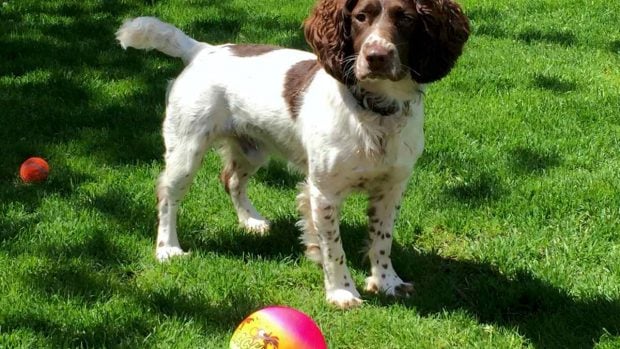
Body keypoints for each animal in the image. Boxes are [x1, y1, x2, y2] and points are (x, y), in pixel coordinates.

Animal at [116, 0, 468, 308]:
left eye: (405, 18)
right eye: (360, 17)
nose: (376, 56)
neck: (374, 112)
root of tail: (202, 49)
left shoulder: (392, 187)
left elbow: (382, 239)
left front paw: (387, 282)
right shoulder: (323, 192)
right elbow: (333, 248)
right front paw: (342, 292)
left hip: (252, 148)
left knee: (231, 179)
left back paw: (251, 220)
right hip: (186, 150)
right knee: (168, 195)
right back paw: (168, 248)